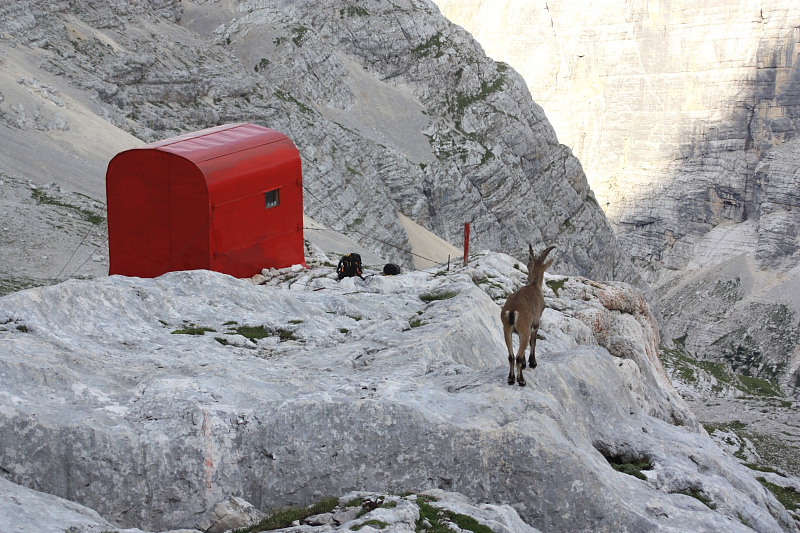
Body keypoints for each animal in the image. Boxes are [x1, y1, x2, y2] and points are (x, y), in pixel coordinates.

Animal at [500, 243, 556, 384]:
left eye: (528, 265)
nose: (527, 278)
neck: (534, 285)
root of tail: (513, 310)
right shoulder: (535, 324)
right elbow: (533, 342)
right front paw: (532, 362)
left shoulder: (520, 331)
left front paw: (526, 364)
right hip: (524, 328)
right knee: (518, 355)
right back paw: (521, 381)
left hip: (507, 329)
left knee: (511, 356)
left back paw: (511, 379)